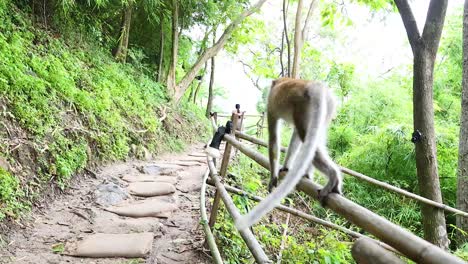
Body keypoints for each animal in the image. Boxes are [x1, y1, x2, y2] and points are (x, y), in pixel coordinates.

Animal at [236, 77, 342, 230]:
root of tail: (314, 86)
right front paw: (286, 167)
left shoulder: (270, 106)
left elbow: (274, 140)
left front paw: (273, 176)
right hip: (326, 109)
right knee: (311, 137)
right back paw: (310, 174)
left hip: (303, 106)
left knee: (305, 135)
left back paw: (333, 176)